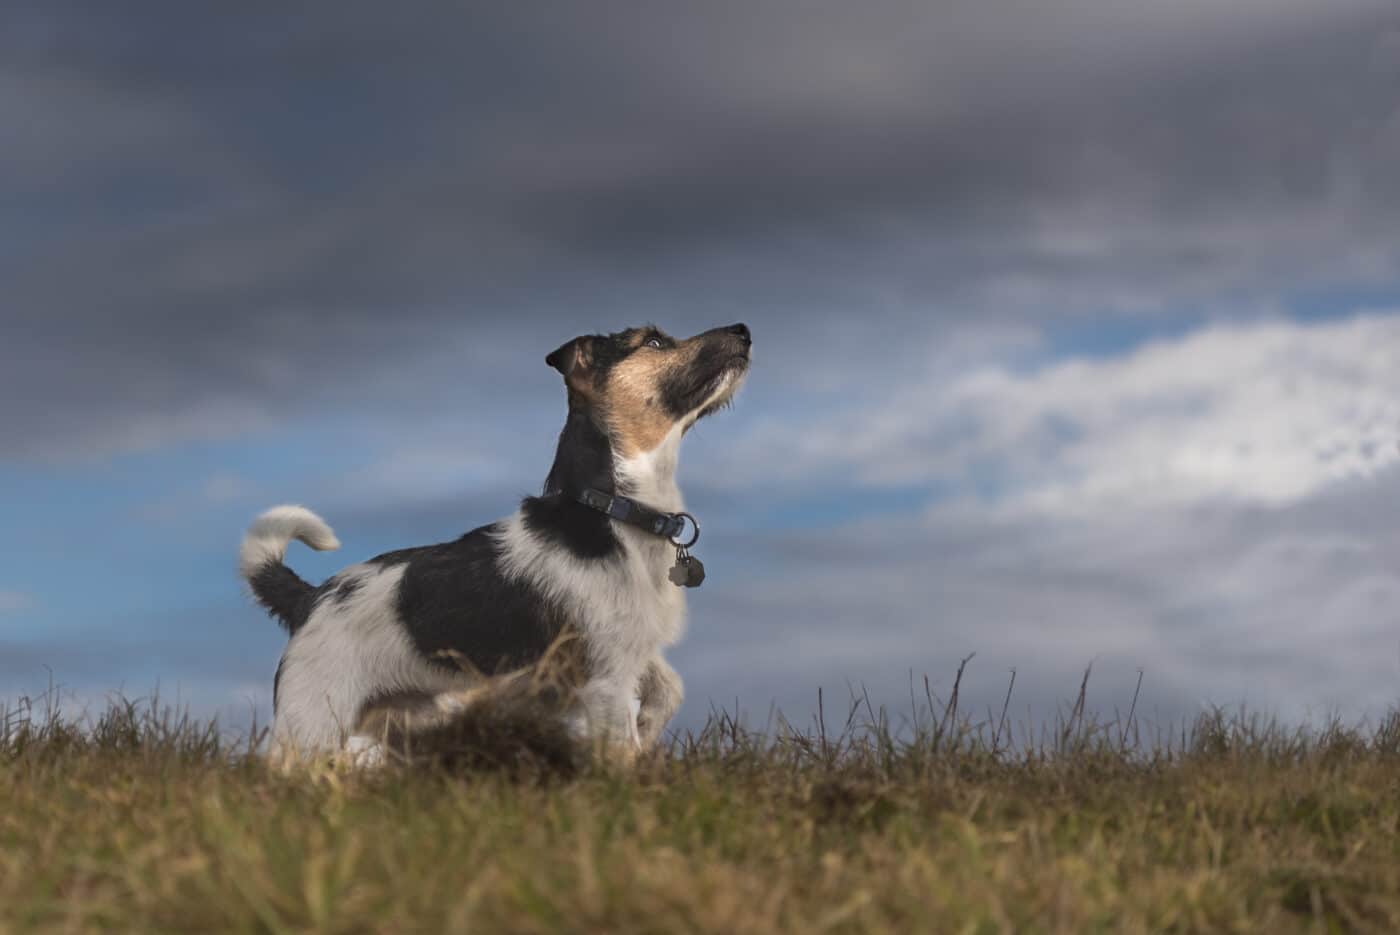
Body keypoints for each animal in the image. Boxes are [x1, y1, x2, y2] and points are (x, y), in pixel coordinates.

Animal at [238, 321, 756, 761]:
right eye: (652, 341)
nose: (744, 329)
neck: (610, 509)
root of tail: (310, 598)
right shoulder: (603, 676)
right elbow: (620, 749)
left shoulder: (630, 647)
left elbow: (670, 688)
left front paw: (649, 727)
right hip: (312, 723)